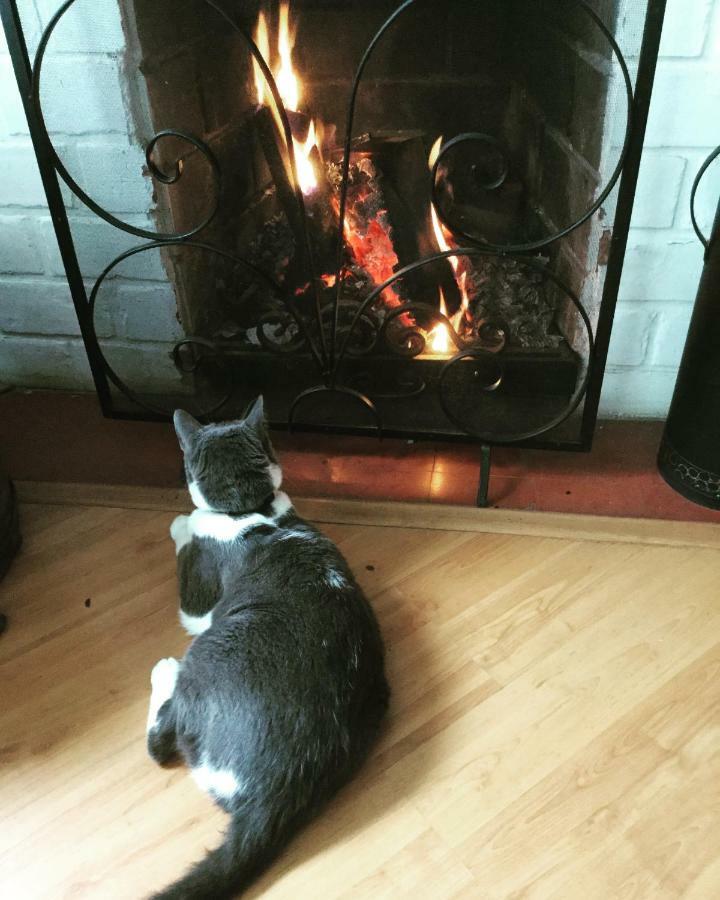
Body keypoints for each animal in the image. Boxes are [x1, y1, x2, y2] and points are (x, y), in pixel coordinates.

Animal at [147, 400, 390, 900]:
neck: (251, 510)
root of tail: (276, 795)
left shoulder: (199, 605)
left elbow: (190, 547)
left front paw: (180, 522)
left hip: (207, 651)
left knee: (161, 742)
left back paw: (164, 673)